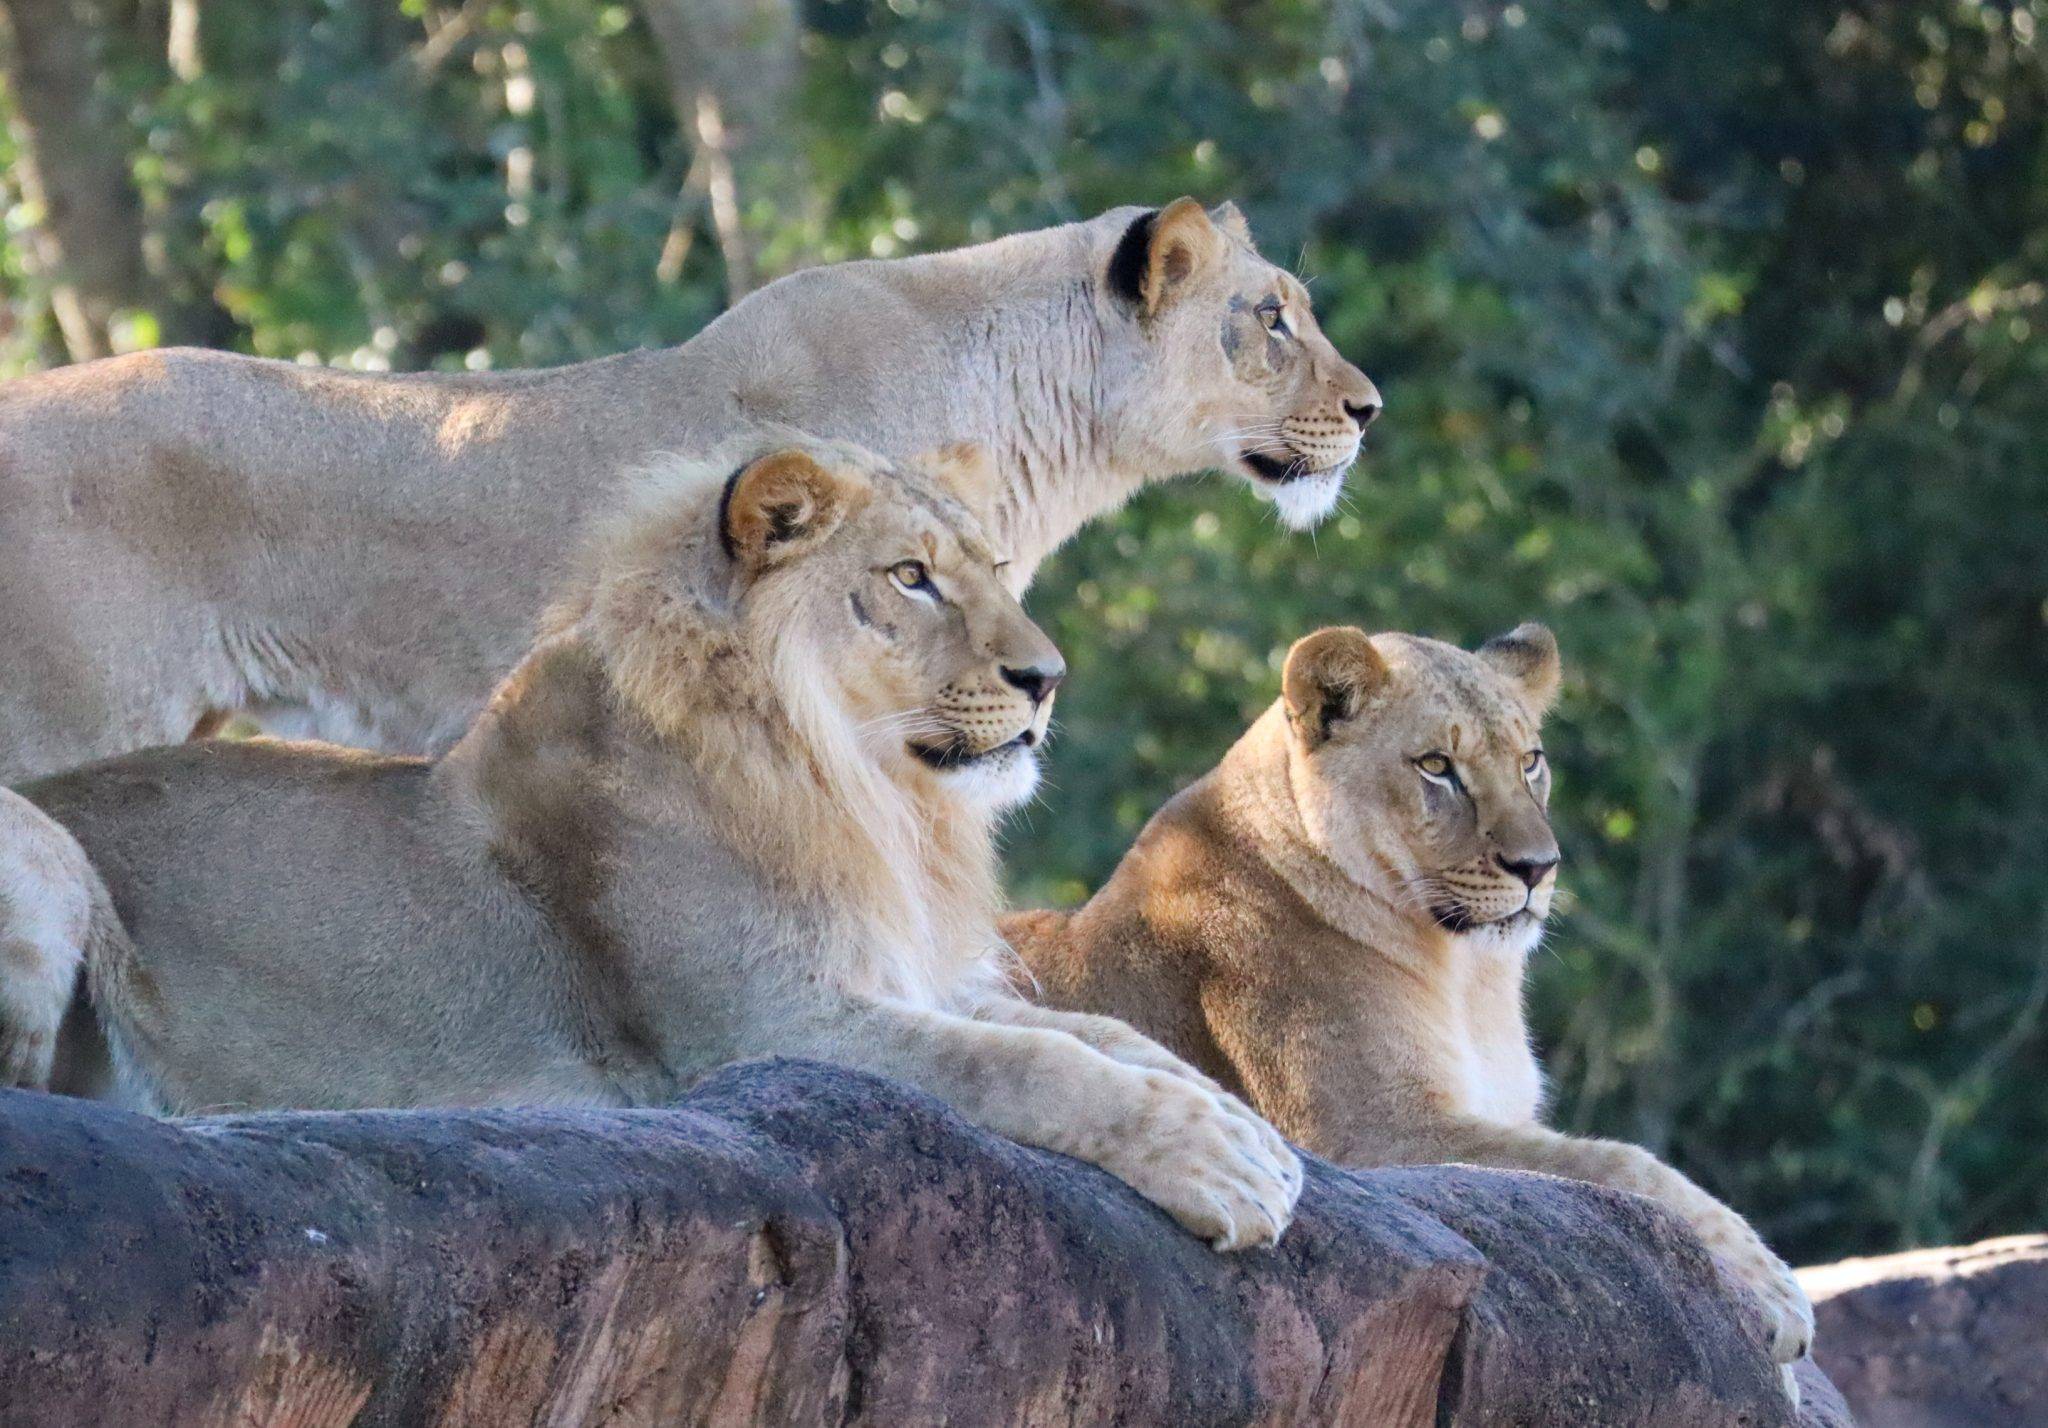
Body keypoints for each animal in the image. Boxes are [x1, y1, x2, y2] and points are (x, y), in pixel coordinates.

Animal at [12, 440, 1294, 1253]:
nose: (1046, 679)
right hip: (44, 862)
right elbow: (1028, 1065)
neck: (860, 790)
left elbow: (1106, 1035)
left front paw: (1254, 1137)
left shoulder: (898, 974)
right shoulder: (764, 1030)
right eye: (910, 577)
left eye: (994, 571)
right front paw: (1218, 1168)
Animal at [999, 622, 1818, 1393]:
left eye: (1530, 760)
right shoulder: (1369, 1133)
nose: (1538, 868)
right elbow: (1617, 1163)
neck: (1470, 981)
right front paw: (1773, 1294)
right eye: (1436, 767)